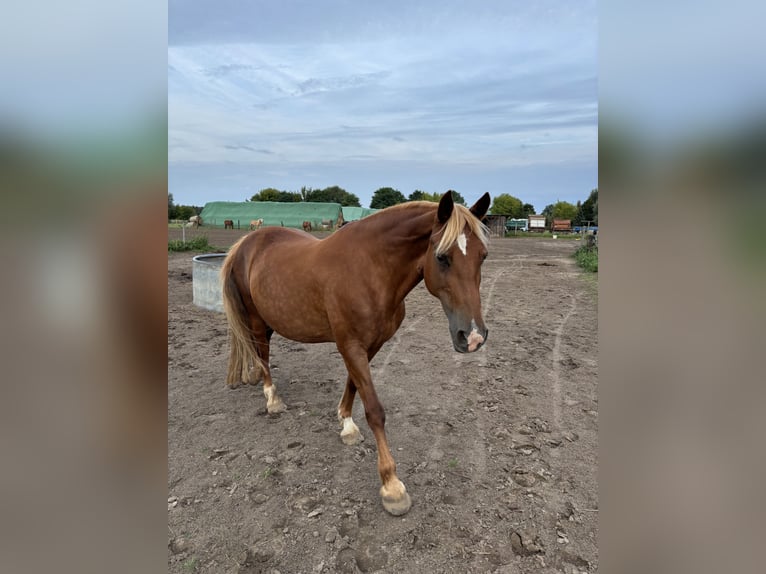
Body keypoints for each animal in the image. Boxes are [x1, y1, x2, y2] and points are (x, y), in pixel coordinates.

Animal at [222, 192, 492, 516]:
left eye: (482, 256)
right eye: (442, 257)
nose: (473, 336)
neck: (371, 270)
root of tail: (246, 242)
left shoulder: (370, 345)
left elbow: (353, 383)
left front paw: (347, 425)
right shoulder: (350, 345)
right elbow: (375, 409)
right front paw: (392, 486)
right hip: (255, 318)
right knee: (262, 353)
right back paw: (272, 399)